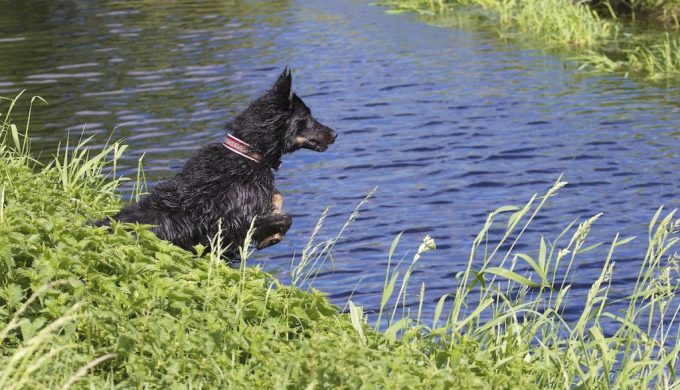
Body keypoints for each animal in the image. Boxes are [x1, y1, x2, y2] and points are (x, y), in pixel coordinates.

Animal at [103, 69, 338, 256]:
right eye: (307, 117)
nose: (335, 134)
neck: (246, 153)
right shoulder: (234, 224)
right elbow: (285, 217)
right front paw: (271, 237)